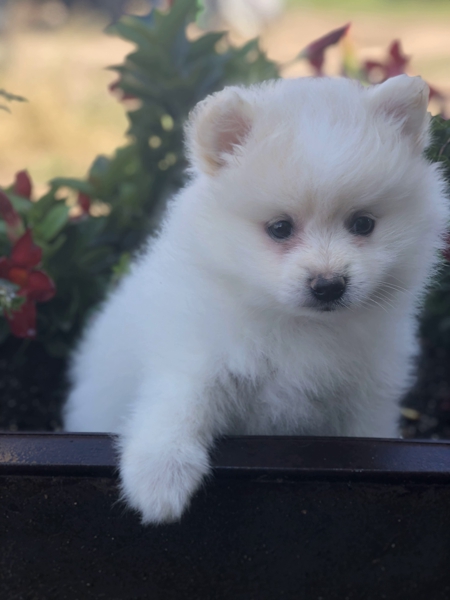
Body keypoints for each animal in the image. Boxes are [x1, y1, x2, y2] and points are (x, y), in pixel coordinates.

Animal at [65, 75, 448, 524]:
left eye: (363, 224)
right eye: (280, 228)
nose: (329, 284)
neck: (299, 326)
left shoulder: (365, 395)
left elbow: (365, 434)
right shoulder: (195, 354)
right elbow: (179, 404)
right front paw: (160, 476)